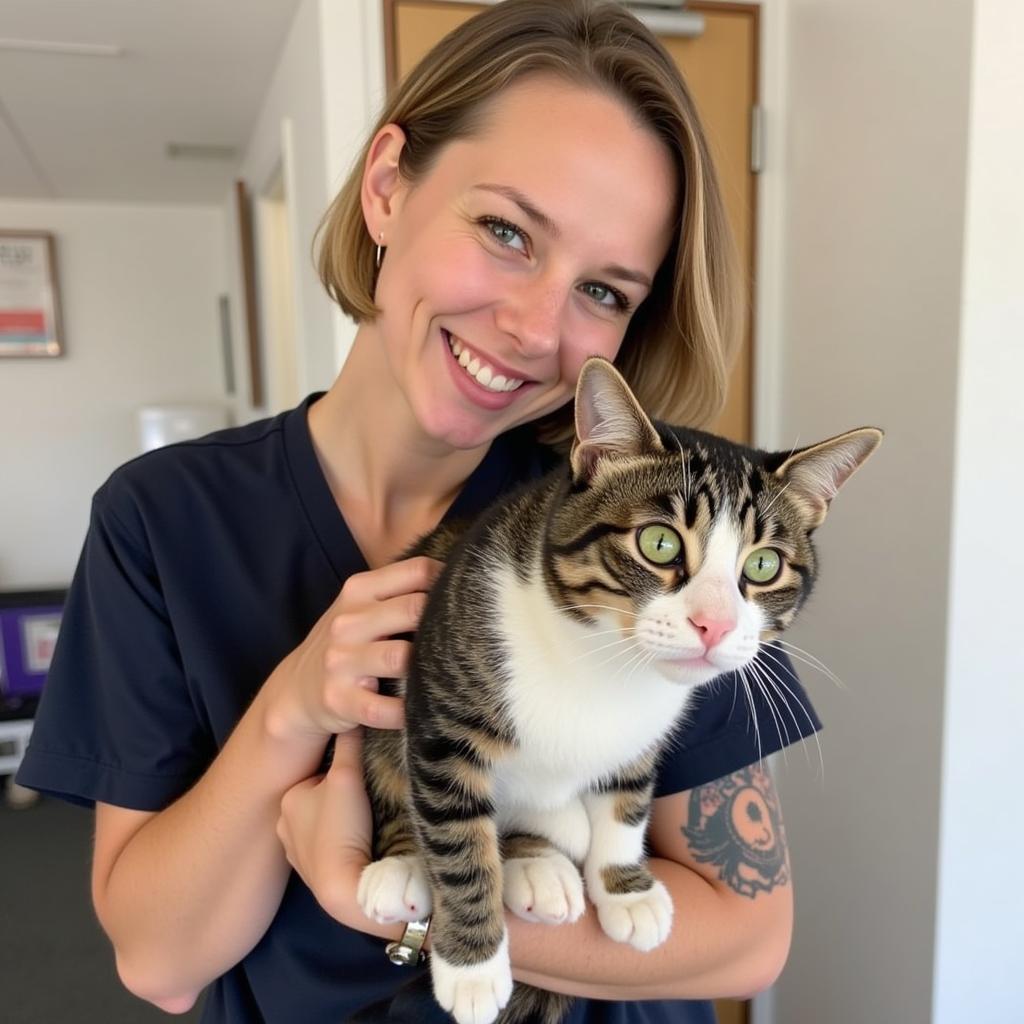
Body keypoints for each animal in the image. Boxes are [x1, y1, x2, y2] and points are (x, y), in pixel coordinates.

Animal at [354, 354, 880, 1024]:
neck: (605, 659)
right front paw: (472, 965)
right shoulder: (443, 705)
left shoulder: (646, 729)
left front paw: (625, 889)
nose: (715, 624)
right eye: (659, 542)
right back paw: (405, 867)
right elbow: (455, 833)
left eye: (763, 566)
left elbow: (627, 797)